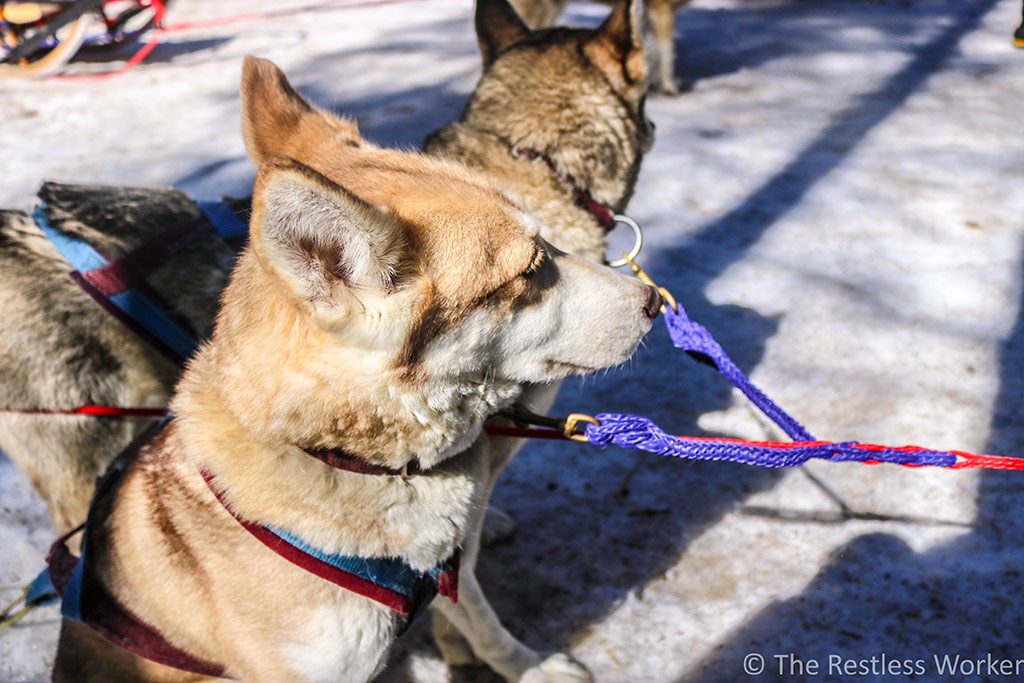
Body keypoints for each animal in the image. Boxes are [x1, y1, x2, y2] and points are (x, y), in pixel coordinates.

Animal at [51, 54, 655, 683]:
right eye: (532, 268)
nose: (653, 301)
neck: (351, 459)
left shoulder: (448, 575)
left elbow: (485, 625)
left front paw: (530, 667)